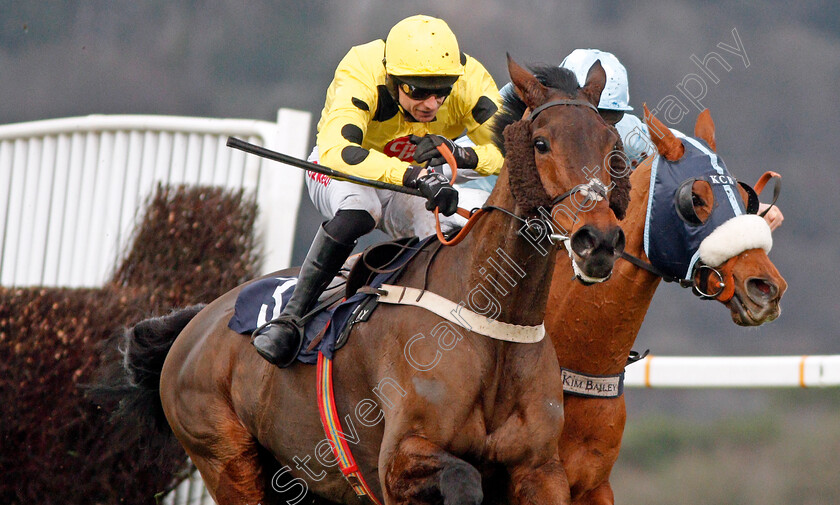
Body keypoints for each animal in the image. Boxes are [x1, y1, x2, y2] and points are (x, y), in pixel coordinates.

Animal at [98, 55, 628, 504]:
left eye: (613, 148)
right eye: (541, 143)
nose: (598, 241)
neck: (491, 324)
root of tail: (194, 325)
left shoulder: (542, 471)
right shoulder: (398, 461)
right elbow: (463, 478)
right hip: (227, 462)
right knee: (351, 214)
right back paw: (278, 334)